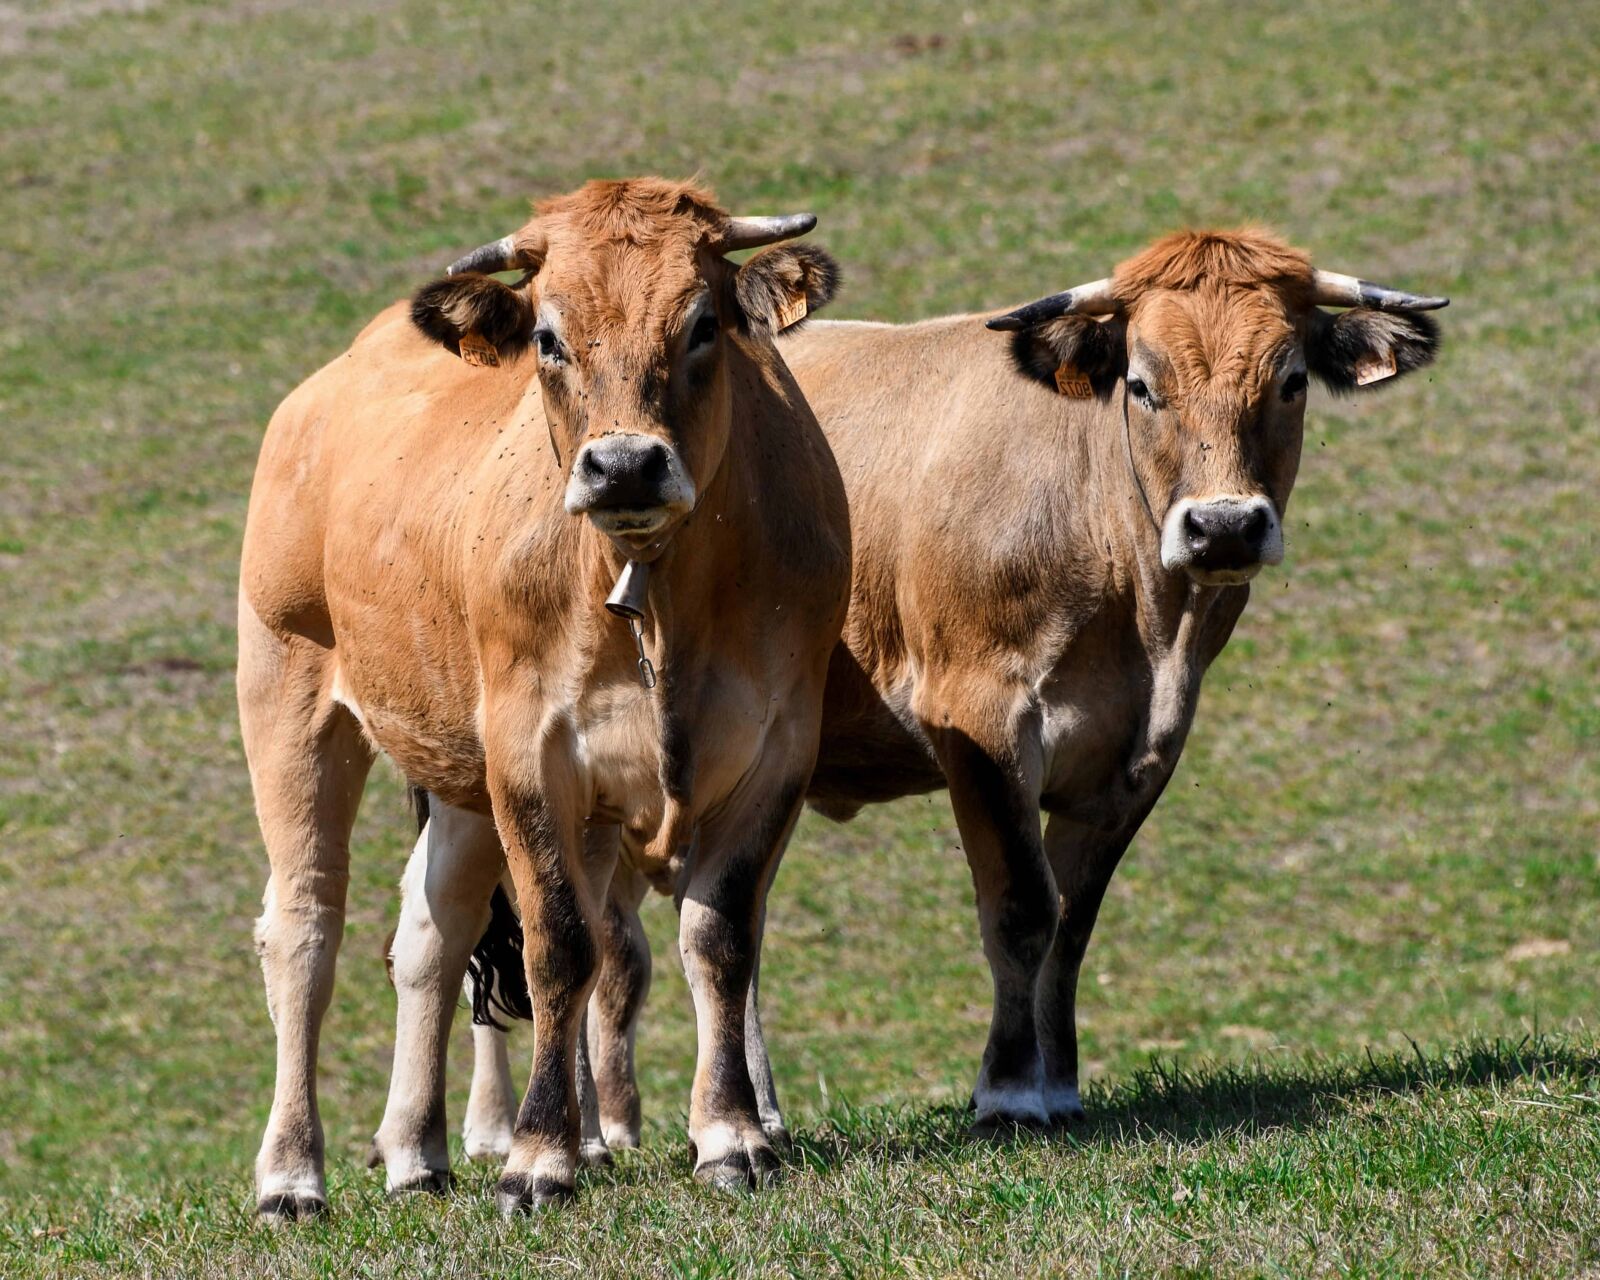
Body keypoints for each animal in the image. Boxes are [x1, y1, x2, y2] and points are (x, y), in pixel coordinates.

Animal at [237, 177, 850, 1218]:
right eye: (551, 339)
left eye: (702, 325)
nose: (625, 465)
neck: (653, 593)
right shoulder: (531, 751)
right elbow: (561, 945)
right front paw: (540, 1155)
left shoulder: (779, 745)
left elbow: (719, 937)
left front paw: (731, 1137)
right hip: (289, 693)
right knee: (305, 927)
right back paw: (290, 1175)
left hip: (457, 764)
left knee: (431, 932)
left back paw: (416, 1153)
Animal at [394, 226, 1446, 1159]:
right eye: (1144, 384)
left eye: (1290, 380)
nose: (1224, 526)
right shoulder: (981, 722)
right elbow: (1022, 907)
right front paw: (1010, 1091)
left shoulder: (1137, 756)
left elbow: (1073, 923)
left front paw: (1060, 1083)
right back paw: (541, 1134)